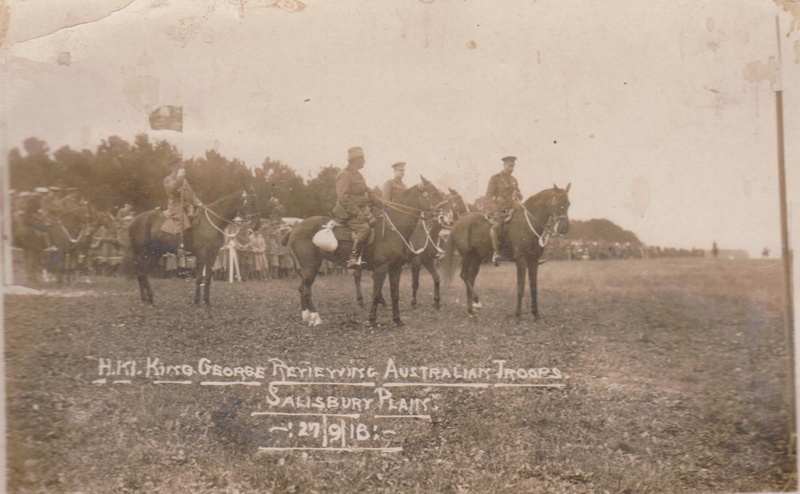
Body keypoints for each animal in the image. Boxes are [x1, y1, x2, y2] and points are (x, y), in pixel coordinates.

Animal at [286, 178, 444, 328]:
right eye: (434, 193)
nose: (443, 216)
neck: (393, 229)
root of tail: (295, 227)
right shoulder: (382, 268)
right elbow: (376, 293)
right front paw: (372, 320)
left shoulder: (396, 268)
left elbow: (395, 295)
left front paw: (397, 320)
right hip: (310, 266)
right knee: (306, 290)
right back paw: (316, 318)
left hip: (312, 266)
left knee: (301, 289)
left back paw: (307, 317)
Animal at [440, 183, 572, 318]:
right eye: (557, 204)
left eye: (568, 204)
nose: (564, 228)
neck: (527, 226)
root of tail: (458, 222)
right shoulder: (521, 261)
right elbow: (520, 288)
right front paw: (518, 314)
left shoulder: (533, 262)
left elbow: (533, 288)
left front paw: (535, 314)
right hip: (466, 255)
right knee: (464, 276)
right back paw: (477, 302)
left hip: (477, 258)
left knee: (470, 278)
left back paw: (471, 309)